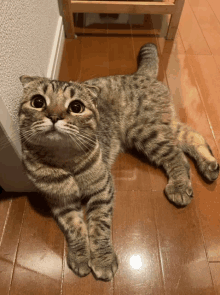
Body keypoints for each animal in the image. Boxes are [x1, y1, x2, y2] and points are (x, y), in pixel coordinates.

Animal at [19, 43, 220, 282]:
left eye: (76, 107)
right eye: (38, 102)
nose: (54, 116)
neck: (63, 158)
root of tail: (139, 74)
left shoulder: (102, 188)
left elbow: (99, 226)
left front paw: (102, 260)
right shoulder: (60, 200)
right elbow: (75, 228)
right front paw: (80, 257)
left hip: (144, 131)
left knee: (176, 155)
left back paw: (180, 186)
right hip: (160, 126)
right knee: (191, 135)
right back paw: (210, 166)